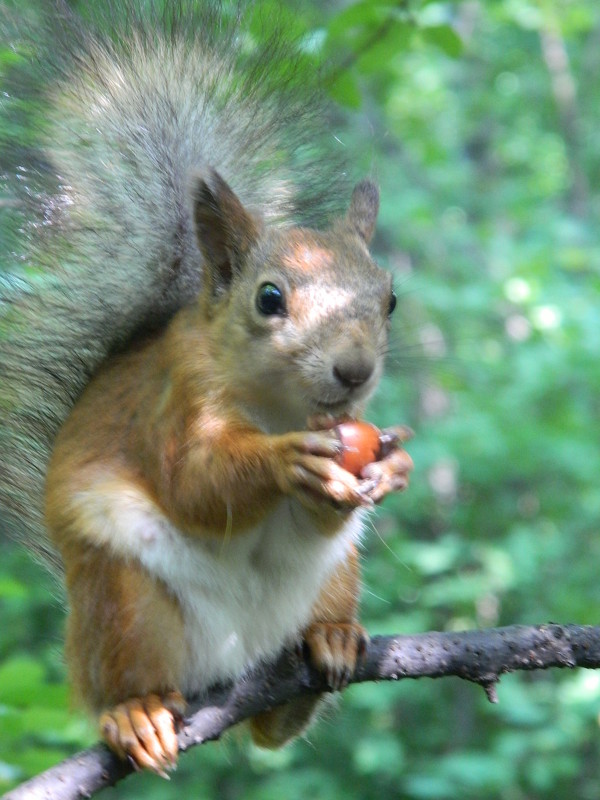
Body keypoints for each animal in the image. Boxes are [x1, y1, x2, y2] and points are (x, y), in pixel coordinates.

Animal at [0, 0, 412, 776]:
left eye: (390, 299)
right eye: (269, 298)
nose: (354, 371)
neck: (281, 407)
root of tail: (236, 662)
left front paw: (393, 462)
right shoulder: (175, 401)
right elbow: (195, 483)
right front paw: (285, 461)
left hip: (335, 577)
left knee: (276, 726)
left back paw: (328, 645)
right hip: (125, 602)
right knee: (130, 675)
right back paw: (135, 714)